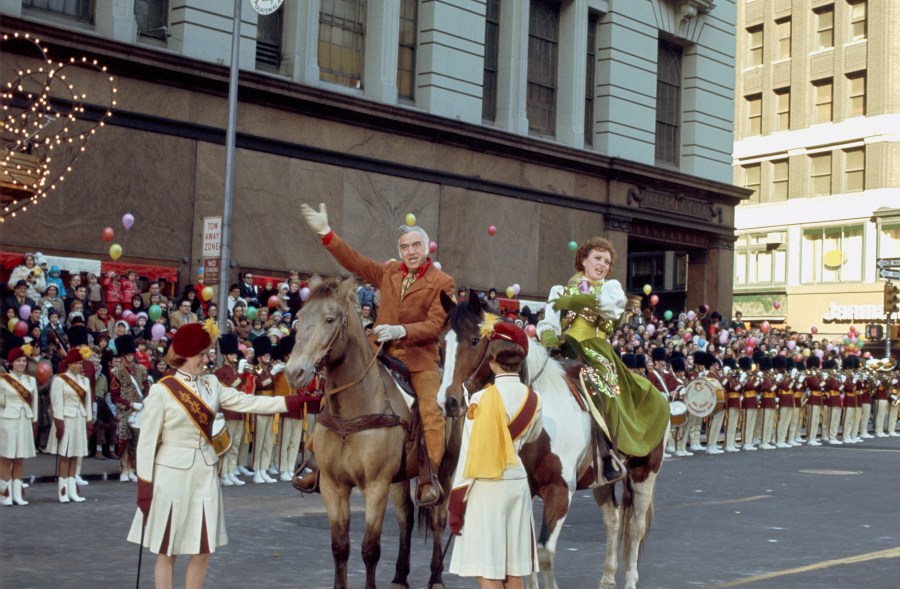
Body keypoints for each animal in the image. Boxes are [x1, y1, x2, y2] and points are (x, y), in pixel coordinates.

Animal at [437, 290, 663, 589]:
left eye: (475, 340)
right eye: (441, 344)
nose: (448, 401)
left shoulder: (559, 490)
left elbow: (544, 553)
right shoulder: (526, 491)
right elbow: (528, 554)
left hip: (644, 474)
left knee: (636, 527)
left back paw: (629, 581)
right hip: (601, 479)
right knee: (613, 520)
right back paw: (607, 576)